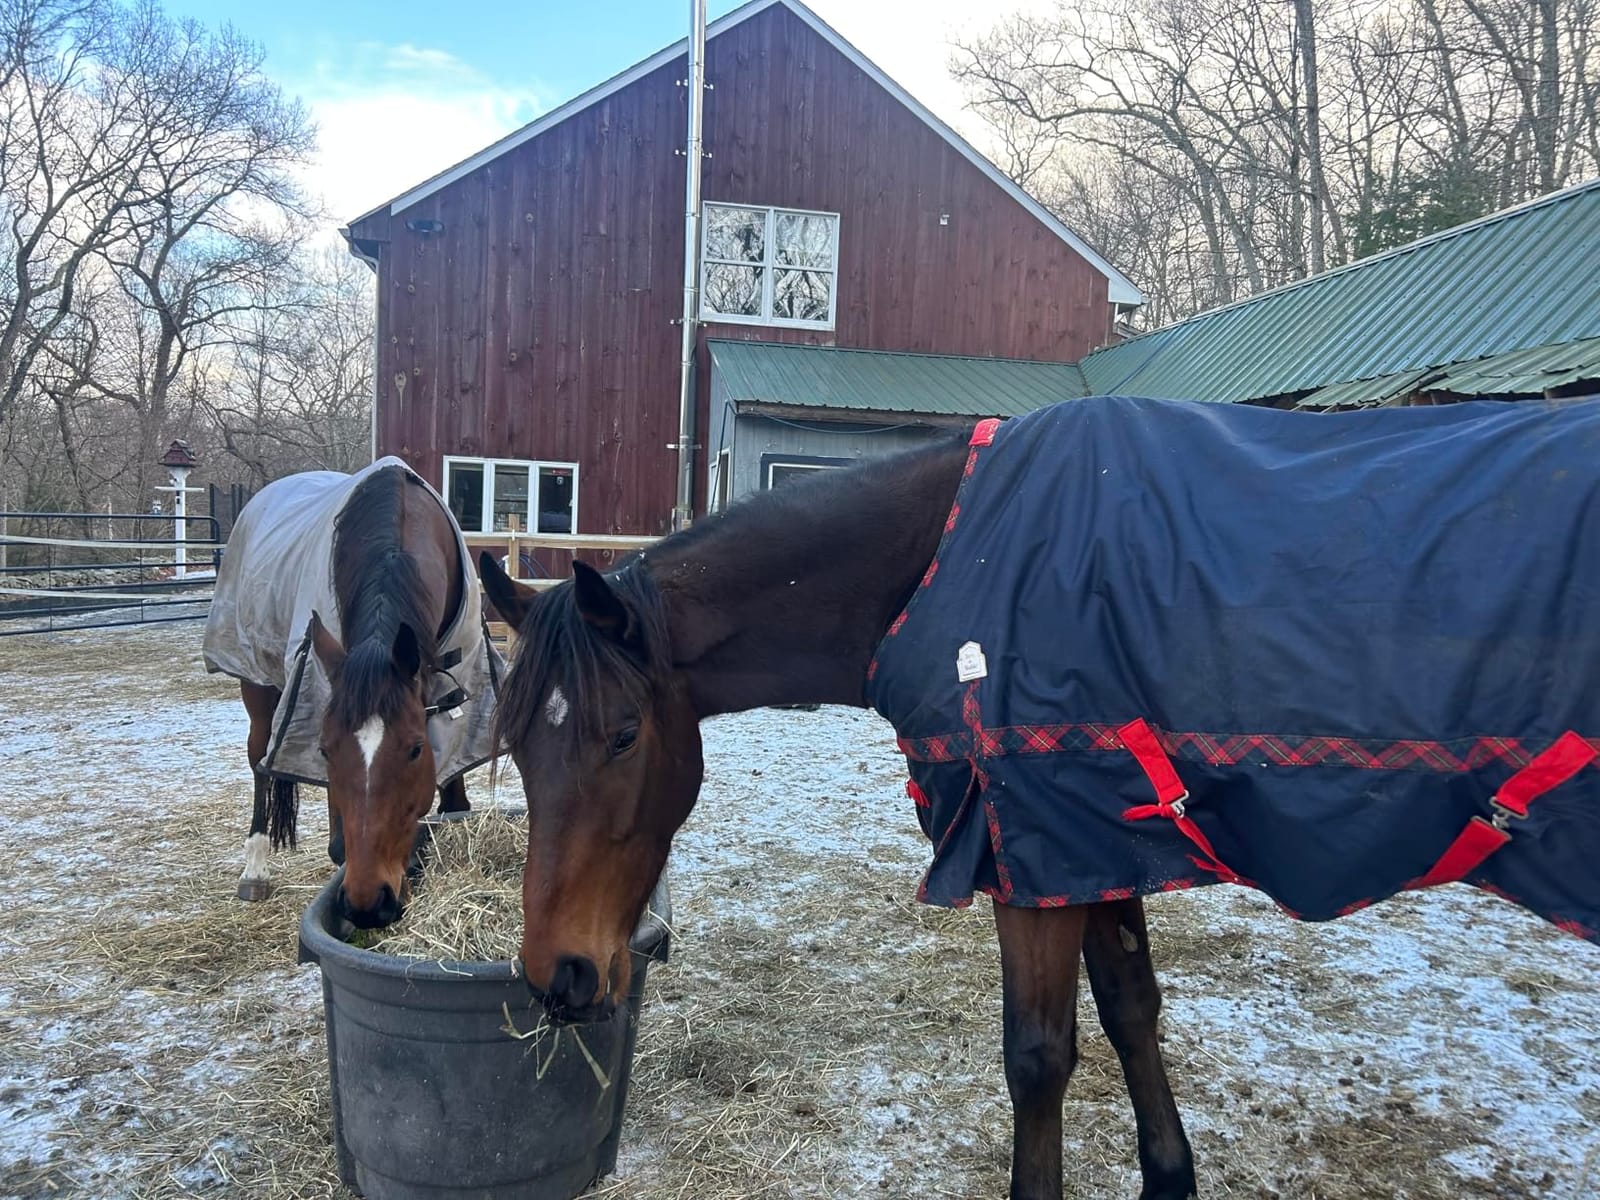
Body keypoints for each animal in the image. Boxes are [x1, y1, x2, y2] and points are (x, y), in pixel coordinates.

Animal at [203, 459, 502, 928]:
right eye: (324, 750)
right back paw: (255, 868)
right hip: (257, 684)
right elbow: (340, 843)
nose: (368, 901)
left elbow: (454, 802)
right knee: (260, 762)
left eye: (415, 750)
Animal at [477, 395, 1600, 1199]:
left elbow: (1039, 1056)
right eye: (518, 746)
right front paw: (1169, 1178)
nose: (558, 976)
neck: (959, 553)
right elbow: (1133, 1010)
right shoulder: (1093, 840)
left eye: (622, 736)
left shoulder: (1028, 843)